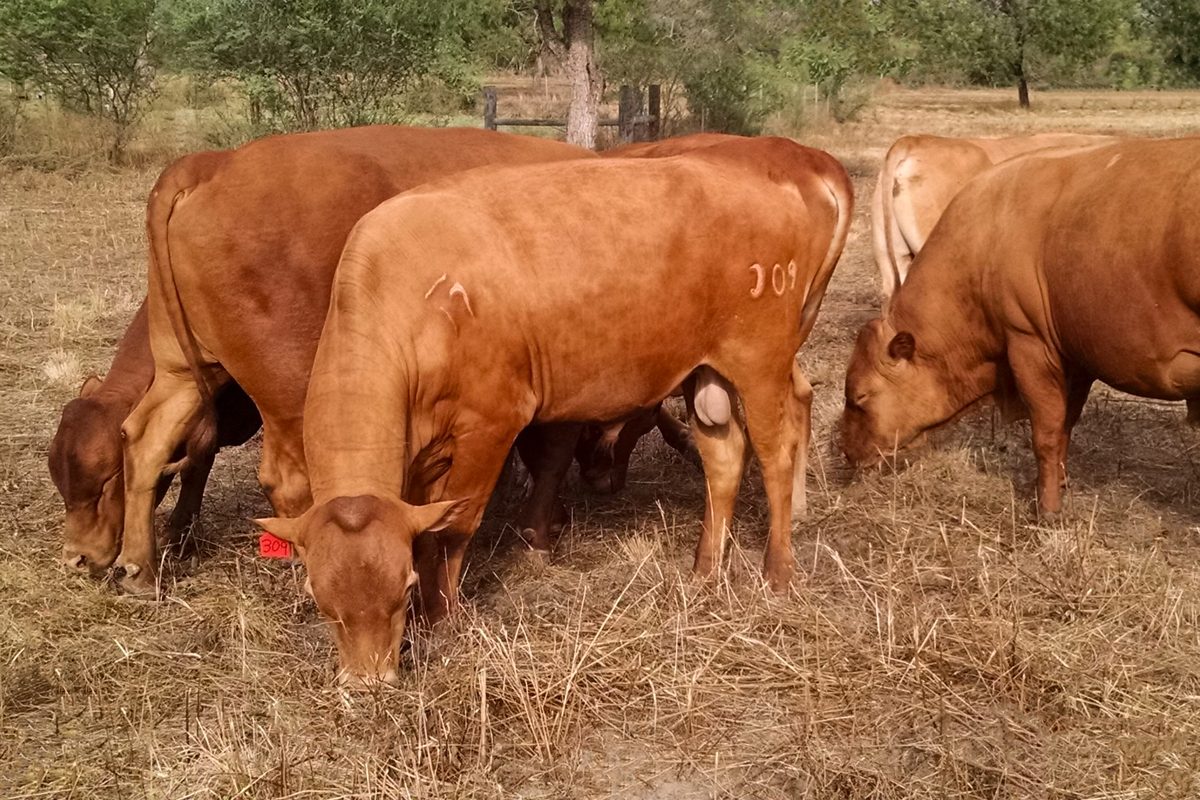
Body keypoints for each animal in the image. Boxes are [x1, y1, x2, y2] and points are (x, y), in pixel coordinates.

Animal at [94, 127, 592, 595]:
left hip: (182, 366)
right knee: (289, 478)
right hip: (296, 387)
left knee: (145, 437)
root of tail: (212, 164)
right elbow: (553, 455)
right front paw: (539, 536)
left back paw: (137, 568)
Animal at [255, 136, 853, 686]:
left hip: (760, 362)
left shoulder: (491, 424)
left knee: (775, 453)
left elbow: (453, 529)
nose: (369, 682)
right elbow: (425, 528)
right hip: (705, 373)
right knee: (724, 457)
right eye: (318, 595)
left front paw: (444, 620)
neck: (414, 297)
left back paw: (777, 573)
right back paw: (705, 571)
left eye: (400, 589)